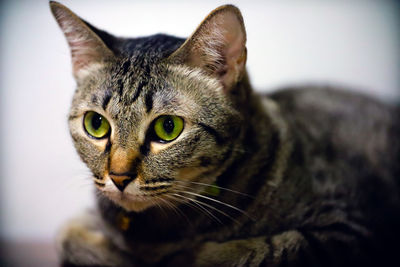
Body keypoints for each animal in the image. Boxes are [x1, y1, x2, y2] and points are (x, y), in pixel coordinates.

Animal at [50, 2, 400, 267]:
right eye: (96, 124)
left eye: (168, 128)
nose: (119, 177)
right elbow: (69, 236)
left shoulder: (353, 226)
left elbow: (269, 249)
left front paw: (193, 256)